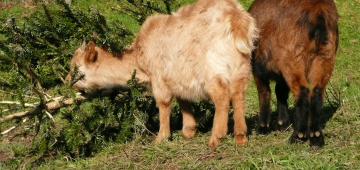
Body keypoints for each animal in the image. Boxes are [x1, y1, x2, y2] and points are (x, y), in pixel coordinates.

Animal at [67, 0, 258, 148]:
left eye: (76, 68)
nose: (68, 81)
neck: (138, 55)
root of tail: (235, 17)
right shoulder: (176, 76)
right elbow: (183, 99)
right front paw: (188, 131)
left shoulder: (158, 76)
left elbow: (163, 103)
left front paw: (161, 137)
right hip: (240, 65)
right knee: (238, 93)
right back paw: (241, 137)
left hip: (211, 67)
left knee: (221, 94)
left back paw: (215, 139)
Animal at [249, 0, 338, 147]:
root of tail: (318, 12)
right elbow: (280, 90)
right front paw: (282, 124)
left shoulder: (258, 68)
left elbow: (264, 92)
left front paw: (262, 127)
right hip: (325, 55)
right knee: (317, 92)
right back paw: (316, 137)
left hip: (293, 59)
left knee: (302, 92)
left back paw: (299, 135)